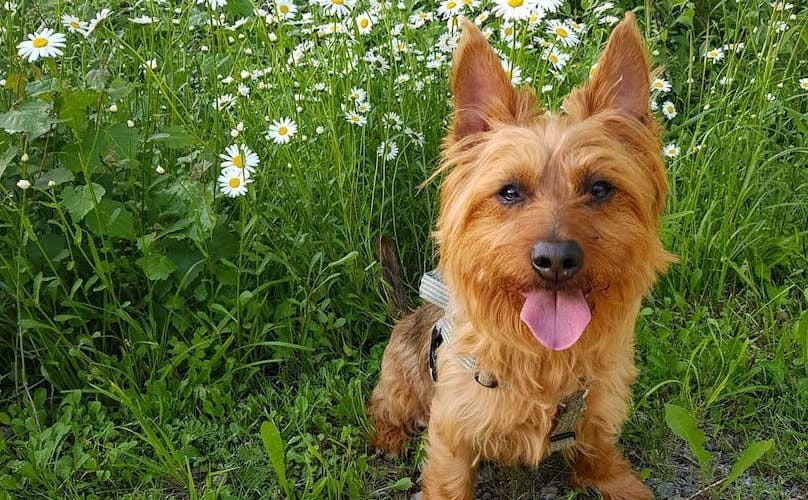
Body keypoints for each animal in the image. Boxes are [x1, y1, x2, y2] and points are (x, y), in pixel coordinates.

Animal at [370, 13, 672, 498]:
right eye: (509, 191)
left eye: (600, 188)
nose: (556, 260)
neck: (545, 360)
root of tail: (408, 313)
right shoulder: (452, 434)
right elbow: (449, 481)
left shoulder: (597, 414)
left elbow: (603, 461)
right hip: (399, 380)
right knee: (384, 406)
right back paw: (388, 436)